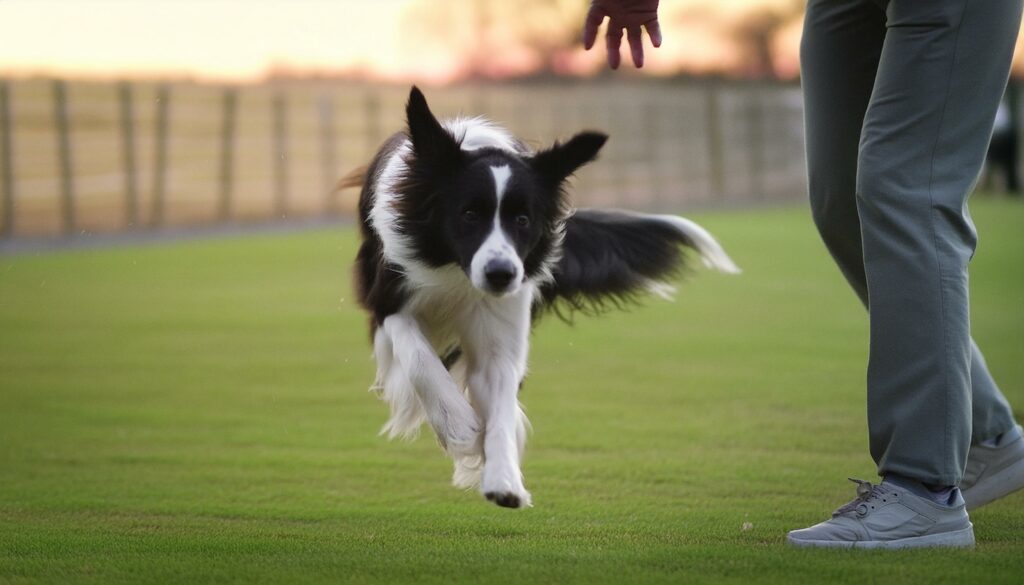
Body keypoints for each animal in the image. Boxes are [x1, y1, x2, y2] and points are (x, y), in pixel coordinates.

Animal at [352, 86, 737, 508]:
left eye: (523, 220)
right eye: (469, 214)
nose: (501, 274)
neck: (457, 271)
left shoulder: (503, 322)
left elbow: (501, 401)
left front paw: (502, 479)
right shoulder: (388, 299)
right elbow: (418, 355)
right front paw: (457, 424)